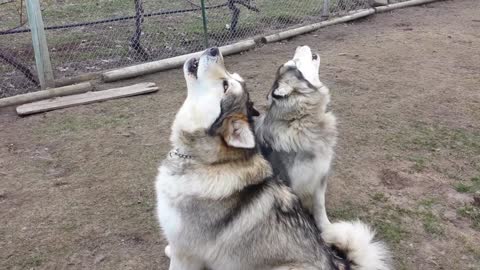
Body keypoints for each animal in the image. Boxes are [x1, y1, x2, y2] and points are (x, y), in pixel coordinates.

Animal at [255, 46, 338, 230]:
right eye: (294, 63)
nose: (299, 46)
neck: (301, 121)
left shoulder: (320, 175)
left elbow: (320, 206)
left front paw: (327, 229)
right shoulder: (290, 186)